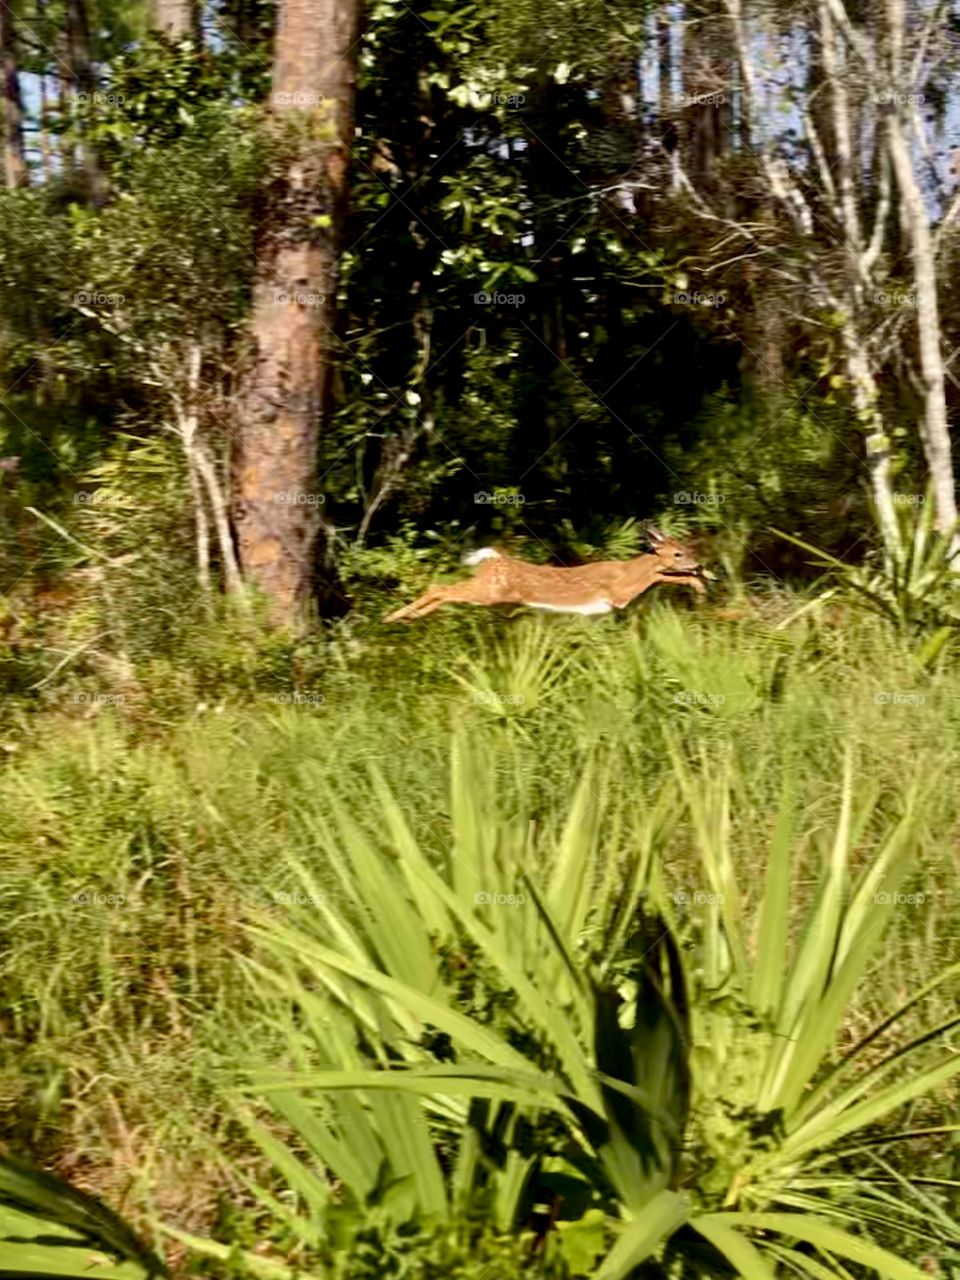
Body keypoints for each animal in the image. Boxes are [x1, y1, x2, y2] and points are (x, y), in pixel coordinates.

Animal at [383, 527, 714, 622]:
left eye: (684, 548)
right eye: (677, 553)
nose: (698, 563)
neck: (627, 568)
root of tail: (493, 559)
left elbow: (664, 578)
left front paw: (703, 582)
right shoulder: (620, 594)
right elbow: (661, 576)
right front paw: (699, 585)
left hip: (485, 588)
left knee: (443, 589)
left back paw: (406, 617)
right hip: (490, 592)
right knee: (441, 588)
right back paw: (392, 617)